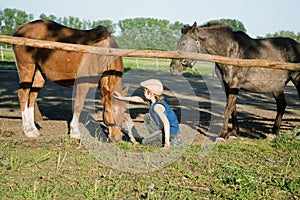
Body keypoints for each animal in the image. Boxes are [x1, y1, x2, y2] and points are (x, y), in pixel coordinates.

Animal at [170, 20, 298, 139]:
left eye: (183, 43)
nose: (173, 68)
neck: (230, 52)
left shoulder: (235, 84)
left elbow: (228, 108)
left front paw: (221, 135)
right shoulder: (227, 85)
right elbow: (233, 108)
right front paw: (233, 133)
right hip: (277, 87)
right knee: (281, 105)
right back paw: (273, 134)